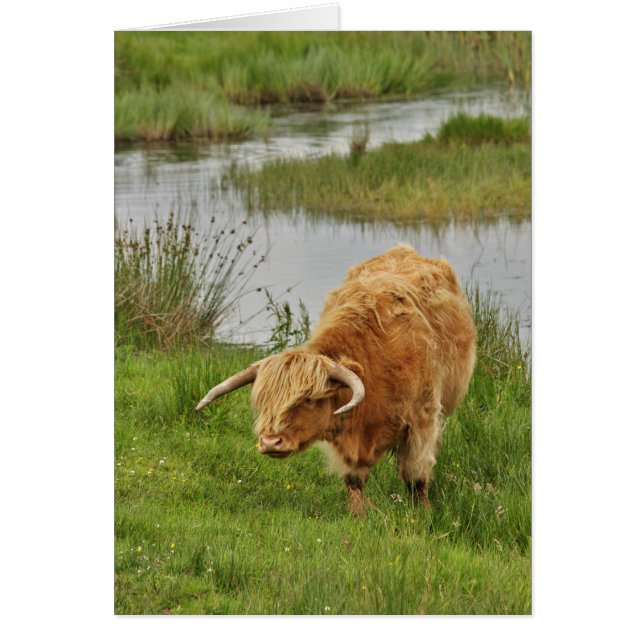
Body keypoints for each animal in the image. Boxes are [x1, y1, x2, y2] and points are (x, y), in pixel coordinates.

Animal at [196, 244, 477, 516]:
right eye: (263, 401)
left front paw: (423, 512)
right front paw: (357, 514)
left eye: (308, 399)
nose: (270, 442)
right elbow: (354, 480)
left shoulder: (422, 421)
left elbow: (416, 475)